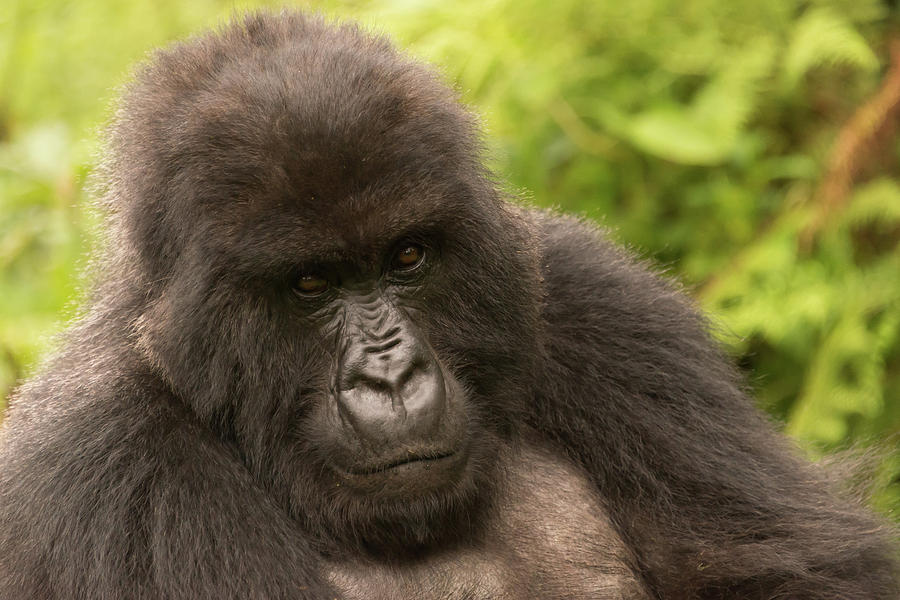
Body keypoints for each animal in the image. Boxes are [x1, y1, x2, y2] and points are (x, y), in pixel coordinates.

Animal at [1, 10, 900, 600]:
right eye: (309, 285)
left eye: (408, 257)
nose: (391, 378)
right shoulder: (110, 470)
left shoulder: (599, 306)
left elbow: (812, 577)